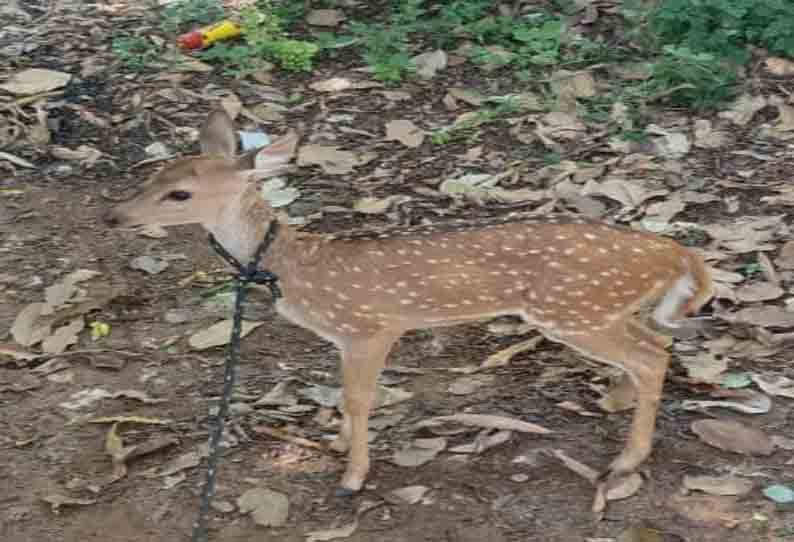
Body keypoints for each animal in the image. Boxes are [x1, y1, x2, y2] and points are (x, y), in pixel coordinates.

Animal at [103, 109, 712, 506]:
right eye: (153, 176)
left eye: (180, 195)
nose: (115, 217)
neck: (295, 266)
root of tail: (677, 252)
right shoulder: (344, 338)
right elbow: (342, 397)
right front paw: (337, 445)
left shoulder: (370, 327)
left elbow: (359, 398)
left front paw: (353, 476)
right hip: (599, 309)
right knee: (655, 342)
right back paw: (615, 400)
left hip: (572, 309)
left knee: (653, 354)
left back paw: (627, 459)